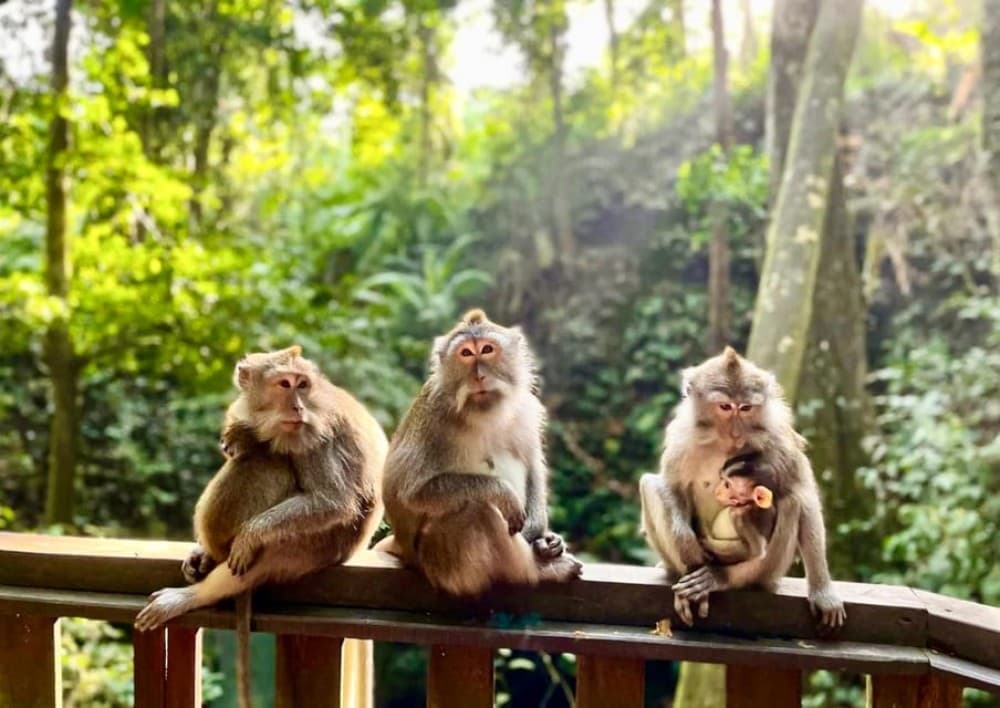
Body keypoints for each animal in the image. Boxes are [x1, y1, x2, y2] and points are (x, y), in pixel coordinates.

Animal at [134, 346, 388, 707]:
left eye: (301, 384)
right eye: (284, 384)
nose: (298, 407)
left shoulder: (315, 433)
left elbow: (333, 500)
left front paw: (250, 534)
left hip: (315, 546)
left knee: (268, 463)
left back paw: (194, 594)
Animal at [375, 309, 582, 596]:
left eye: (486, 349)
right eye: (465, 353)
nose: (479, 376)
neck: (482, 412)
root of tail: (404, 550)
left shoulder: (525, 409)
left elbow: (532, 466)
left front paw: (541, 535)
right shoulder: (433, 419)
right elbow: (412, 493)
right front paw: (503, 493)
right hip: (442, 561)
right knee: (479, 511)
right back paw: (539, 570)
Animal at [639, 346, 846, 630]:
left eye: (746, 408)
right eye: (726, 407)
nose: (736, 432)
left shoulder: (778, 436)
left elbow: (804, 496)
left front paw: (823, 592)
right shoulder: (682, 437)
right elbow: (672, 486)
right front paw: (686, 543)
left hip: (767, 569)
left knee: (792, 502)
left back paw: (721, 577)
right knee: (649, 484)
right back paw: (686, 571)